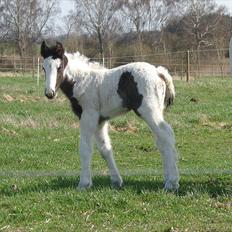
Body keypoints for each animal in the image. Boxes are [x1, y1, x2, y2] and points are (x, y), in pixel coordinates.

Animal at [40, 41, 179, 190]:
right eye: (43, 68)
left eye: (59, 67)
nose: (49, 93)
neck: (82, 81)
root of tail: (159, 72)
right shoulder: (100, 121)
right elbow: (105, 148)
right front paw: (116, 181)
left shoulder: (88, 116)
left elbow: (85, 148)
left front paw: (84, 184)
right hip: (158, 110)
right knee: (162, 140)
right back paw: (168, 180)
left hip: (149, 111)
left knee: (166, 135)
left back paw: (172, 183)